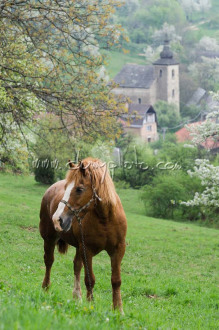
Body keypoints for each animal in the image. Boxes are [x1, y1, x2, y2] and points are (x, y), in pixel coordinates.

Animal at [39, 157, 126, 312]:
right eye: (66, 187)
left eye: (79, 189)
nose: (57, 219)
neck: (105, 219)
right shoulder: (88, 250)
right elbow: (90, 279)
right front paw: (90, 305)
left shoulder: (118, 249)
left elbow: (116, 280)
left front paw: (118, 310)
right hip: (49, 239)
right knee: (49, 261)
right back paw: (46, 288)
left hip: (78, 247)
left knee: (76, 266)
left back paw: (77, 296)